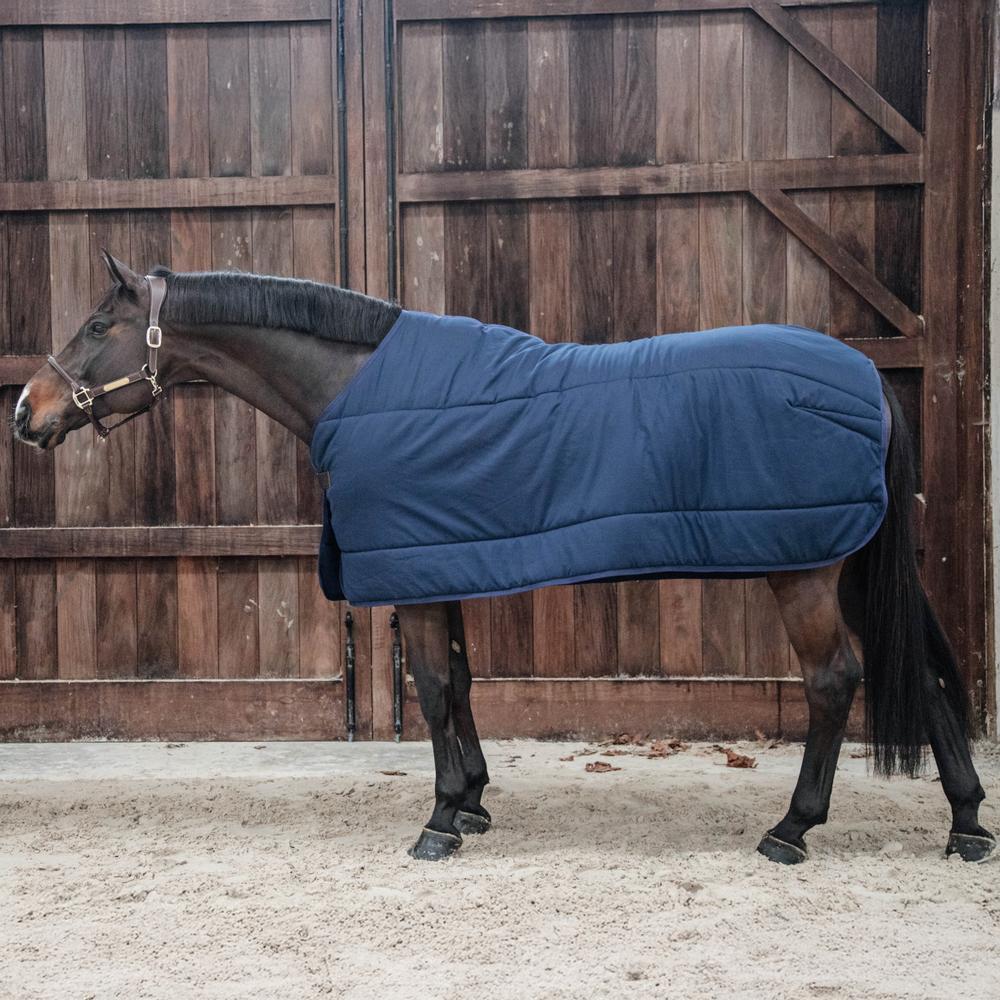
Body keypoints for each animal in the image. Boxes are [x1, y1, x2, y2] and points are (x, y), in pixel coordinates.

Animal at [12, 251, 994, 866]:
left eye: (97, 324)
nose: (27, 410)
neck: (360, 387)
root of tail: (867, 383)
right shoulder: (442, 560)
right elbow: (459, 680)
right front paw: (476, 800)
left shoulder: (413, 574)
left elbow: (431, 687)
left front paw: (441, 818)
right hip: (849, 562)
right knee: (923, 675)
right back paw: (966, 825)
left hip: (805, 572)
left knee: (836, 681)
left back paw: (793, 828)